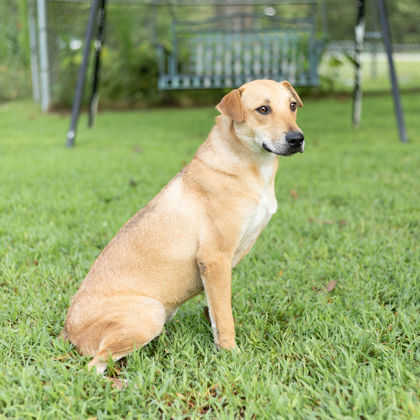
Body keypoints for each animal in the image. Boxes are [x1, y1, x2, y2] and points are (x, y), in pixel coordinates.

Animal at [62, 79, 304, 374]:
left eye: (292, 105)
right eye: (263, 109)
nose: (297, 139)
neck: (250, 165)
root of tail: (68, 330)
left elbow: (215, 312)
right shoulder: (214, 259)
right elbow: (224, 316)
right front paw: (231, 354)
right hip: (149, 313)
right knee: (94, 366)